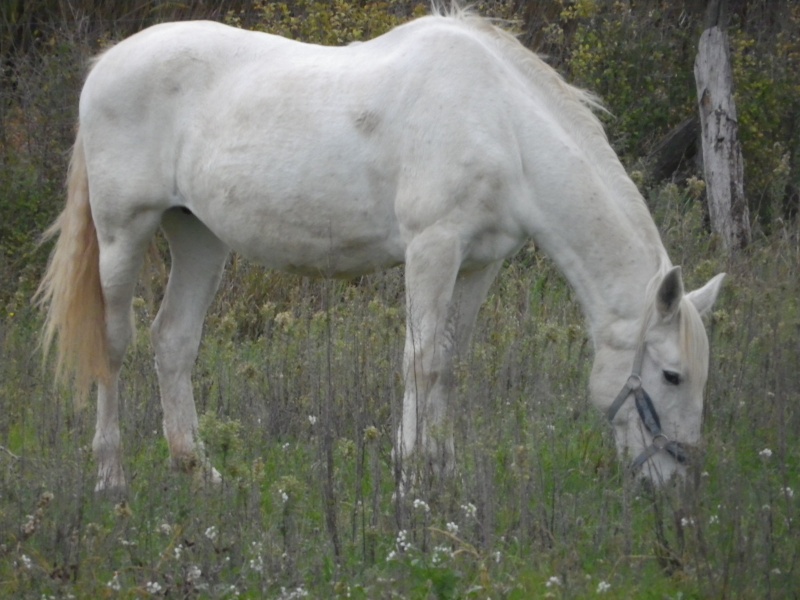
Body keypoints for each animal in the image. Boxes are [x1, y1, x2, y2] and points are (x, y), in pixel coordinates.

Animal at [36, 5, 724, 492]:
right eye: (671, 374)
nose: (675, 483)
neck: (501, 121)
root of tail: (104, 65)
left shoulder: (479, 262)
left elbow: (450, 360)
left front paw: (443, 473)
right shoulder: (432, 248)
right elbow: (421, 361)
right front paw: (412, 475)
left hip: (198, 234)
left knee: (173, 340)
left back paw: (197, 470)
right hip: (125, 232)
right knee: (114, 345)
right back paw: (111, 478)